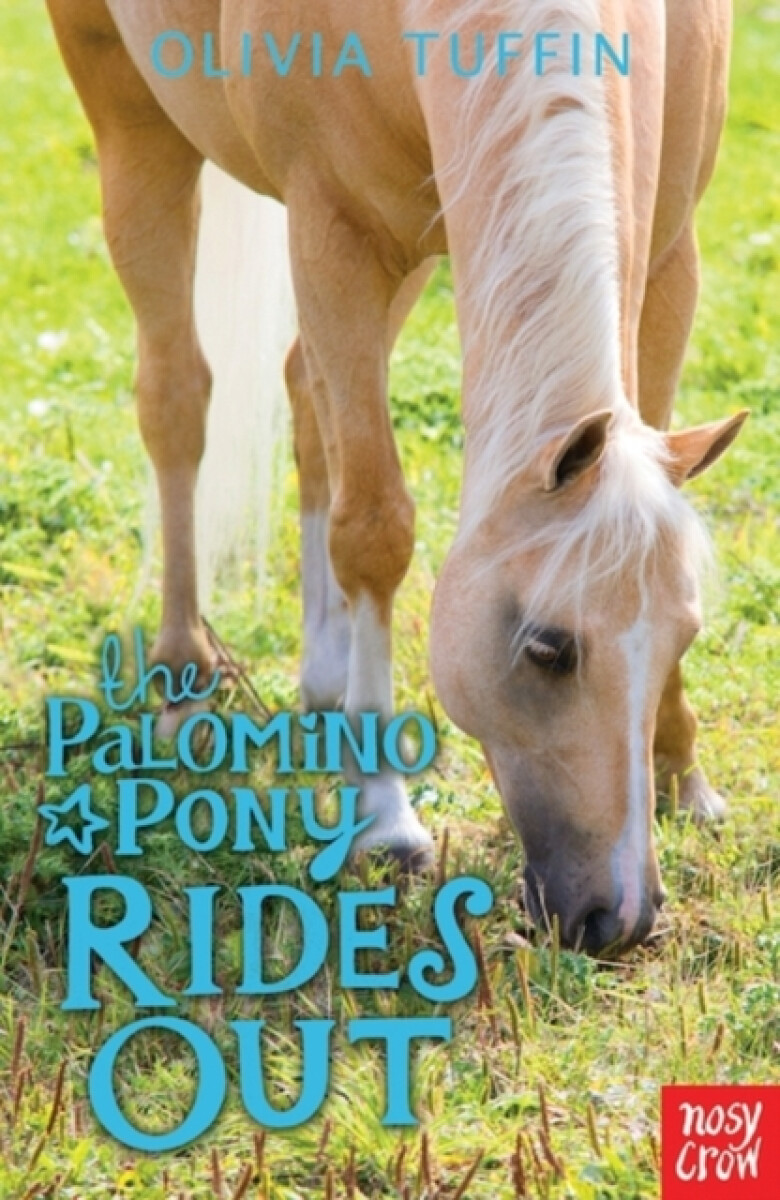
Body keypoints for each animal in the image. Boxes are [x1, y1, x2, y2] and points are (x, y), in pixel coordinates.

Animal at [46, 0, 746, 955]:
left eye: (685, 635)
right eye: (548, 648)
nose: (622, 919)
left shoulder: (672, 250)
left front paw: (683, 773)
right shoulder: (333, 233)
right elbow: (374, 529)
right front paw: (386, 821)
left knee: (306, 396)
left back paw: (325, 674)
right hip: (133, 122)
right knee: (176, 397)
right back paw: (184, 668)